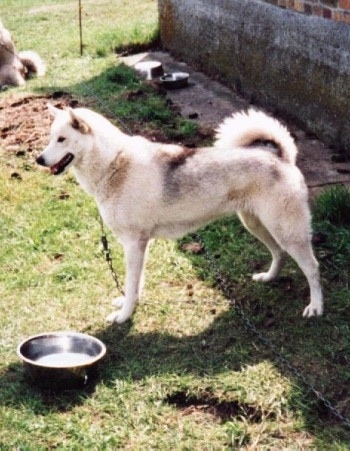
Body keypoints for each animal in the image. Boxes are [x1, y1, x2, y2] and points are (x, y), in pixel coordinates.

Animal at [37, 105, 324, 324]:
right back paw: (269, 277)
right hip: (256, 224)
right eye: (51, 138)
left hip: (287, 231)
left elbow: (130, 283)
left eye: (61, 139)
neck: (114, 162)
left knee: (312, 267)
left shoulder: (134, 244)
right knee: (279, 253)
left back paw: (316, 307)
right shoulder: (139, 246)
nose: (39, 159)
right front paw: (129, 303)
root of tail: (282, 157)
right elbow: (136, 283)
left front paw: (124, 315)